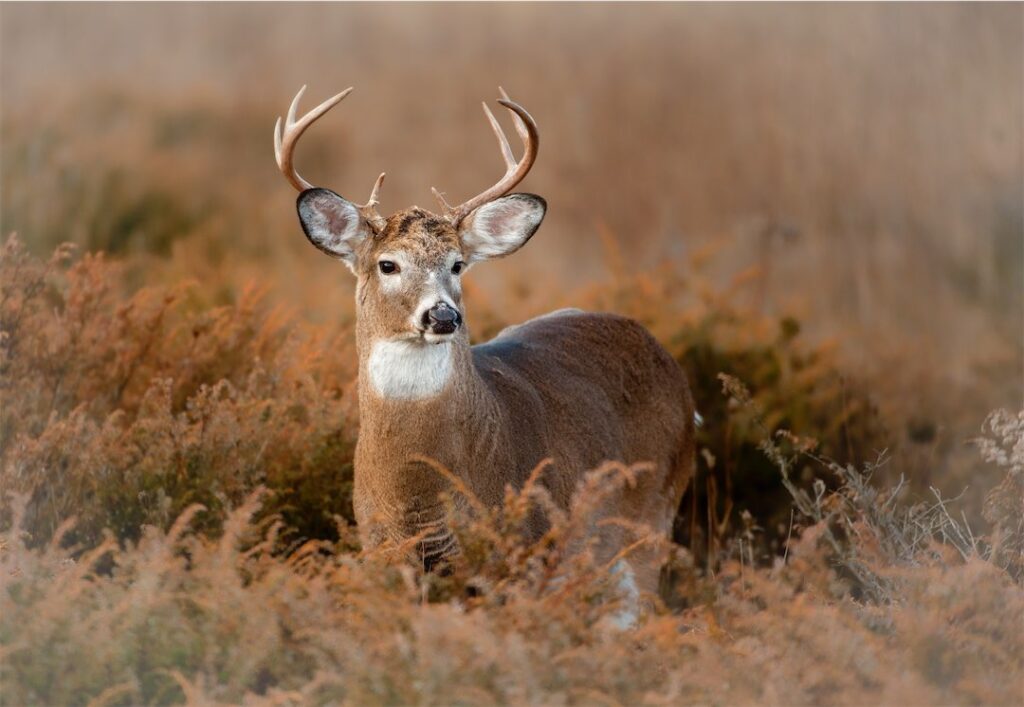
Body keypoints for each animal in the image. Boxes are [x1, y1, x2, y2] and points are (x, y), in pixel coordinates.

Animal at [273, 85, 696, 600]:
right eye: (388, 264)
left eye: (457, 264)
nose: (442, 315)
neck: (415, 492)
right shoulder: (382, 552)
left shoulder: (525, 549)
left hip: (652, 515)